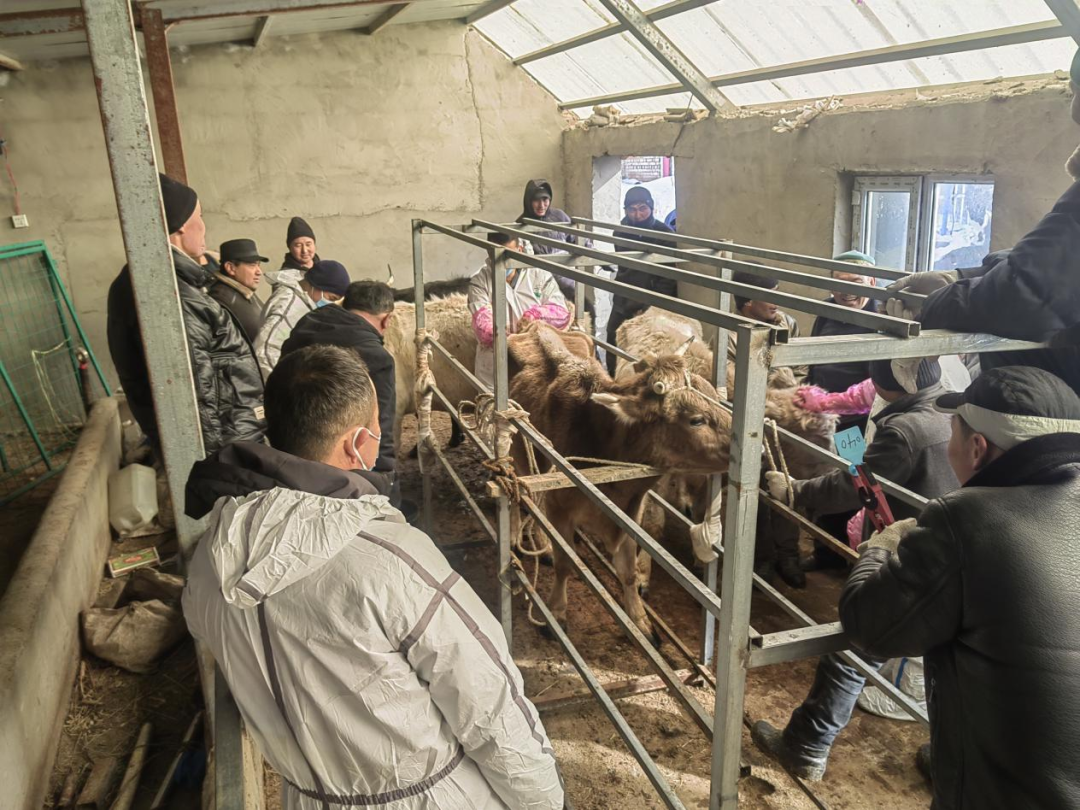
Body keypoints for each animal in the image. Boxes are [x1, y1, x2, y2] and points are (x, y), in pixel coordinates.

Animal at [506, 323, 733, 644]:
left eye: (713, 395)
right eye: (696, 420)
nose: (754, 449)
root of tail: (537, 325)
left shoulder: (630, 512)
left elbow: (628, 571)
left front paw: (639, 621)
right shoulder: (559, 506)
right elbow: (565, 563)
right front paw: (557, 614)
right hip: (515, 448)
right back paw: (521, 535)